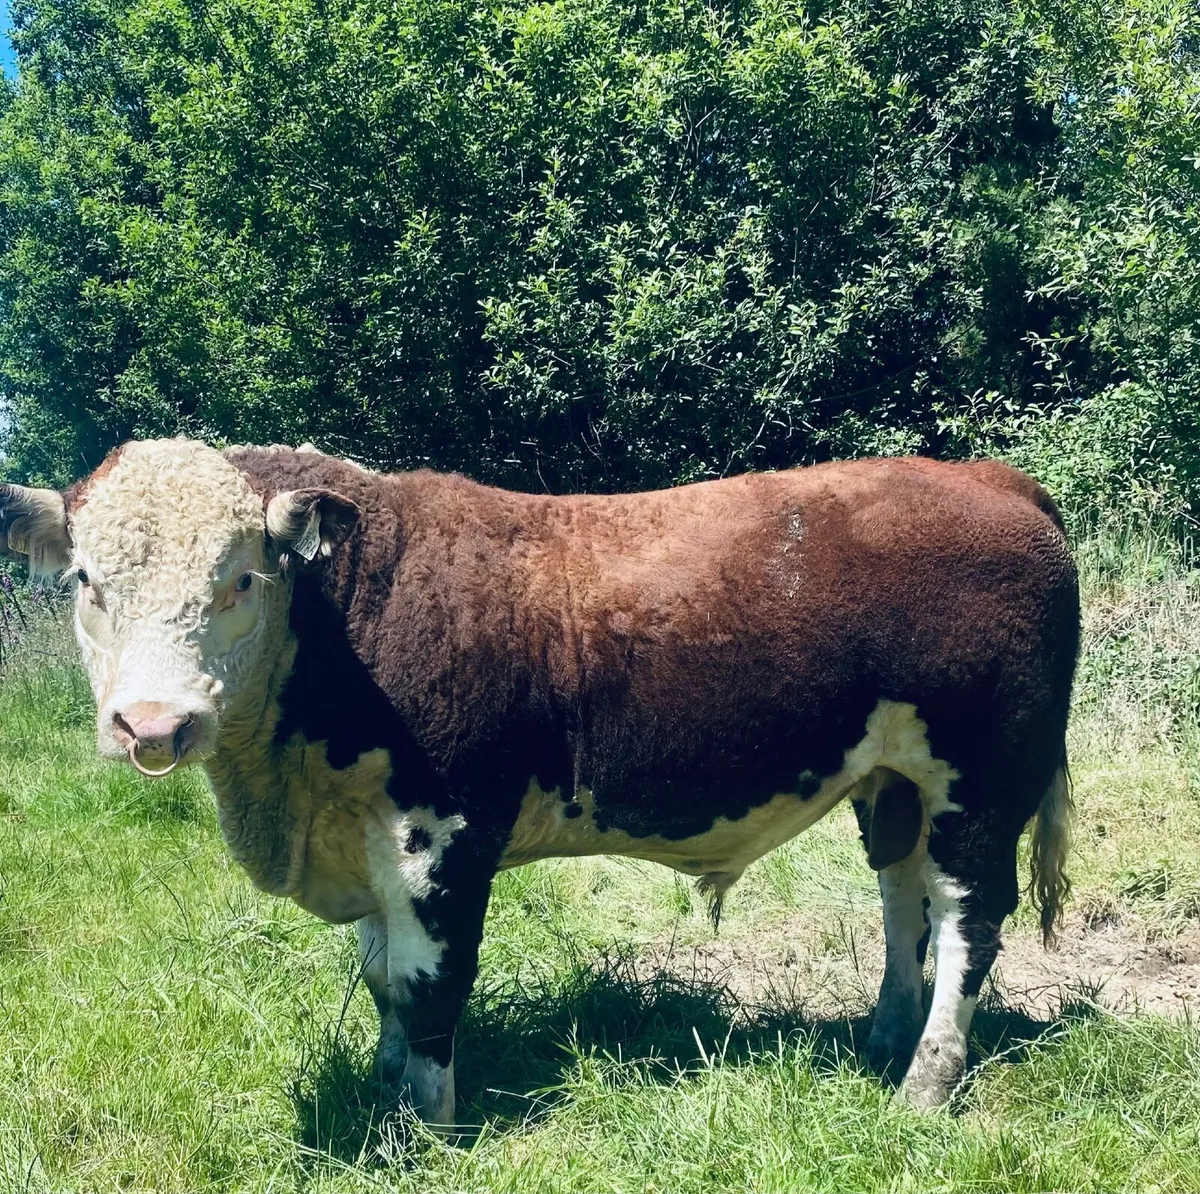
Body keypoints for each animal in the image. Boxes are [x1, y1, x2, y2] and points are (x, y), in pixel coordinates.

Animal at [0, 439, 1078, 1126]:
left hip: (983, 777)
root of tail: (991, 478)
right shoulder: (363, 836)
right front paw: (388, 1088)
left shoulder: (442, 836)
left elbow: (427, 984)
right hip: (893, 778)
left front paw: (424, 1126)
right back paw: (885, 1034)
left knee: (970, 917)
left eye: (241, 579)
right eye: (88, 581)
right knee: (904, 894)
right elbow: (380, 979)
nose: (153, 725)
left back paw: (926, 1085)